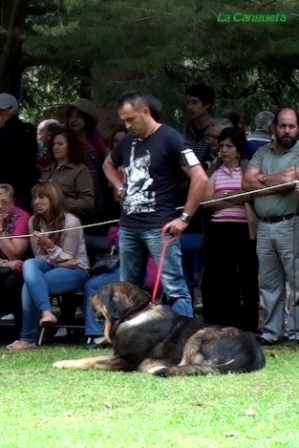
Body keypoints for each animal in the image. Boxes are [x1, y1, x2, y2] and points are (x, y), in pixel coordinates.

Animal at [52, 284, 266, 374]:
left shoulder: (124, 360)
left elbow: (90, 362)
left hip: (199, 334)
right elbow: (89, 358)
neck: (135, 314)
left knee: (180, 367)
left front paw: (64, 364)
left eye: (100, 294)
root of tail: (250, 356)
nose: (88, 298)